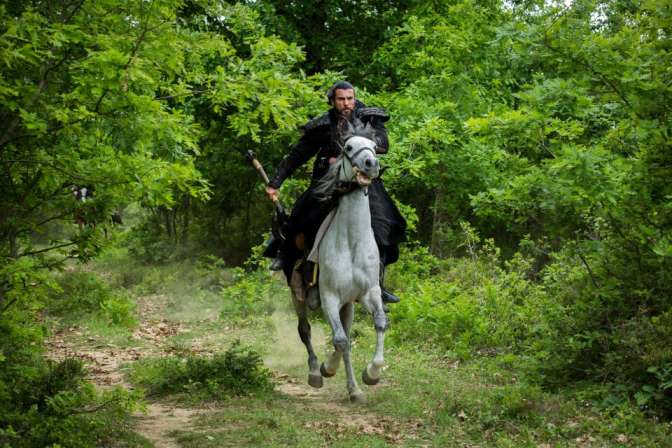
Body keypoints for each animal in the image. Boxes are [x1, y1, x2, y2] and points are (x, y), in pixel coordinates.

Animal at [290, 121, 388, 402]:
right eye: (349, 147)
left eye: (375, 145)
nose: (371, 164)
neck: (352, 243)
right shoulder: (329, 297)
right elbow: (341, 340)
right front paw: (327, 368)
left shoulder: (370, 292)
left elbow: (378, 325)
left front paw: (371, 374)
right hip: (297, 294)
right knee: (305, 329)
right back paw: (315, 371)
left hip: (349, 305)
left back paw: (353, 389)